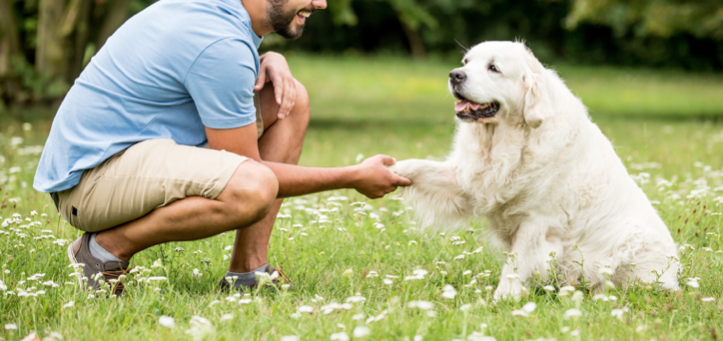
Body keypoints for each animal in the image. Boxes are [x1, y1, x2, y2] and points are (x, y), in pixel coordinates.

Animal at [390, 41, 680, 298]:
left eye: (493, 67)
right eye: (466, 62)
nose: (455, 75)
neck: (507, 141)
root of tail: (675, 275)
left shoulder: (537, 220)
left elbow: (516, 263)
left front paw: (502, 299)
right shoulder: (469, 181)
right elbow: (419, 167)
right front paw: (389, 169)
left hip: (631, 241)